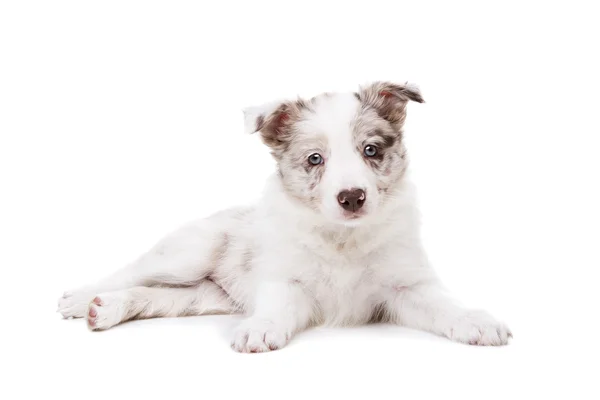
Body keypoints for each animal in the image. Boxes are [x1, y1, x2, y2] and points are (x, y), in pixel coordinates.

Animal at [58, 82, 510, 354]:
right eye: (315, 159)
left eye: (371, 150)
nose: (352, 198)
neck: (342, 237)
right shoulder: (286, 281)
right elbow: (276, 306)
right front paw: (261, 328)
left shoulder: (406, 287)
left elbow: (445, 305)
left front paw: (475, 320)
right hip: (189, 252)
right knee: (132, 271)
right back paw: (82, 298)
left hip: (203, 296)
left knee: (155, 295)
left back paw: (106, 310)